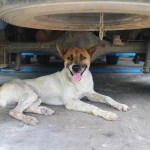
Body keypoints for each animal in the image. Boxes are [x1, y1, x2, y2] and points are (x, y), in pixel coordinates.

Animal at [0, 45, 129, 125]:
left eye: (83, 57)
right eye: (69, 58)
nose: (76, 68)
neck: (80, 81)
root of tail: (2, 87)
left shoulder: (90, 94)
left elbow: (108, 97)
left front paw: (120, 105)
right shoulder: (71, 102)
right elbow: (93, 107)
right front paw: (107, 113)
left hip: (37, 97)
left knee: (25, 108)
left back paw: (43, 110)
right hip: (31, 95)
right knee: (14, 111)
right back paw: (29, 119)